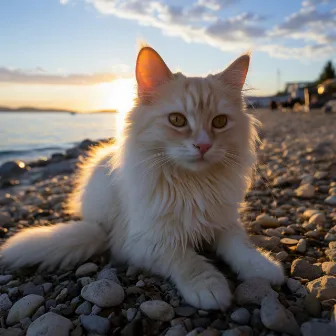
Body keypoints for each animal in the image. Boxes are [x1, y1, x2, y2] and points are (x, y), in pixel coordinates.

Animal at [0, 44, 284, 310]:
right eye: (177, 120)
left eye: (220, 122)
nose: (203, 146)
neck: (192, 184)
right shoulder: (143, 242)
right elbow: (187, 259)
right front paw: (210, 287)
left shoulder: (224, 222)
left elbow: (241, 248)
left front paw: (264, 268)